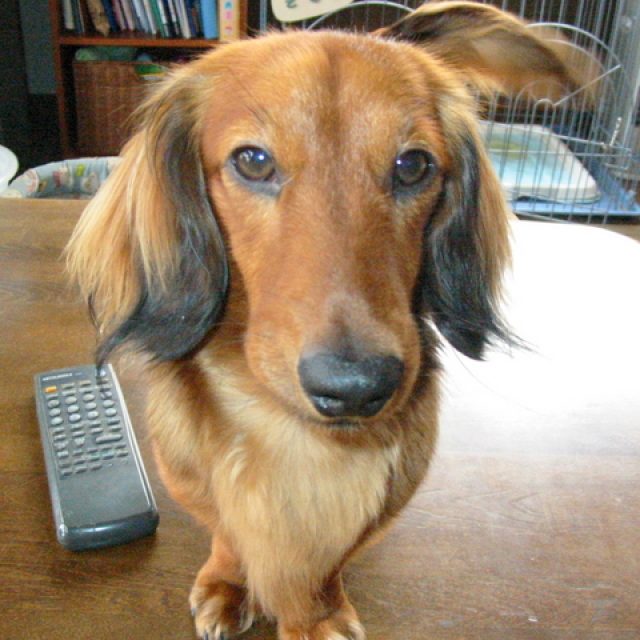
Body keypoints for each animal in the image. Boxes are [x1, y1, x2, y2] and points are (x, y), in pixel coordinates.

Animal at [66, 3, 584, 638]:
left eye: (413, 165)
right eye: (253, 160)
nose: (356, 388)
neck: (294, 435)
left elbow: (332, 557)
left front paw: (317, 614)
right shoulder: (190, 478)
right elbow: (228, 533)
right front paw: (228, 581)